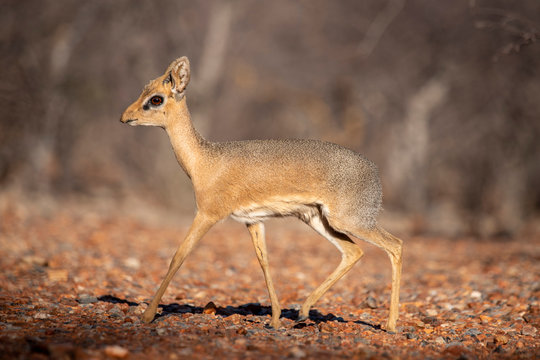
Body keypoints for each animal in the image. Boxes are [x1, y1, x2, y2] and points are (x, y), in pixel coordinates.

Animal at [120, 57, 402, 332]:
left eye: (156, 99)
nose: (125, 117)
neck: (206, 161)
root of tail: (375, 172)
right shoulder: (253, 221)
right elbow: (264, 261)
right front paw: (275, 318)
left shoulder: (208, 214)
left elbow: (179, 255)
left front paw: (147, 315)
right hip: (318, 220)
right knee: (354, 252)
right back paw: (302, 311)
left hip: (349, 221)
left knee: (395, 245)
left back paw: (390, 325)